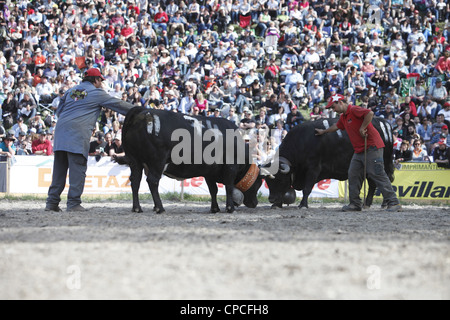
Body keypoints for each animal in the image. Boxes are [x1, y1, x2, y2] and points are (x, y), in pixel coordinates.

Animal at [114, 106, 262, 214]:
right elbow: (229, 187)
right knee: (152, 181)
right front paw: (229, 208)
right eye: (259, 183)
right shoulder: (230, 167)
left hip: (135, 161)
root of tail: (142, 111)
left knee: (135, 181)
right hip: (157, 161)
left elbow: (213, 190)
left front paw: (215, 208)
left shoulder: (210, 172)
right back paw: (159, 208)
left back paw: (137, 208)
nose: (255, 203)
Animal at [264, 117, 394, 210]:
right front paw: (277, 204)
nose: (271, 199)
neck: (302, 141)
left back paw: (382, 203)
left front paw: (303, 204)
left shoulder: (313, 169)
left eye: (280, 179)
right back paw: (368, 203)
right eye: (268, 181)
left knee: (382, 181)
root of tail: (384, 122)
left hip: (381, 164)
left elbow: (307, 189)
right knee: (373, 183)